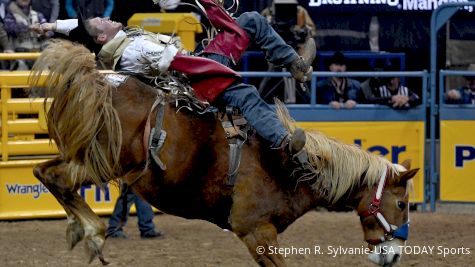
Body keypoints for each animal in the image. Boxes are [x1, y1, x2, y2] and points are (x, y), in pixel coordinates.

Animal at [29, 40, 418, 267]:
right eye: (401, 203)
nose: (394, 254)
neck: (291, 169)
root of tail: (94, 80)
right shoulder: (256, 231)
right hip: (110, 162)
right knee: (55, 177)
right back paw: (94, 232)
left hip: (92, 159)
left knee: (45, 172)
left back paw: (83, 231)